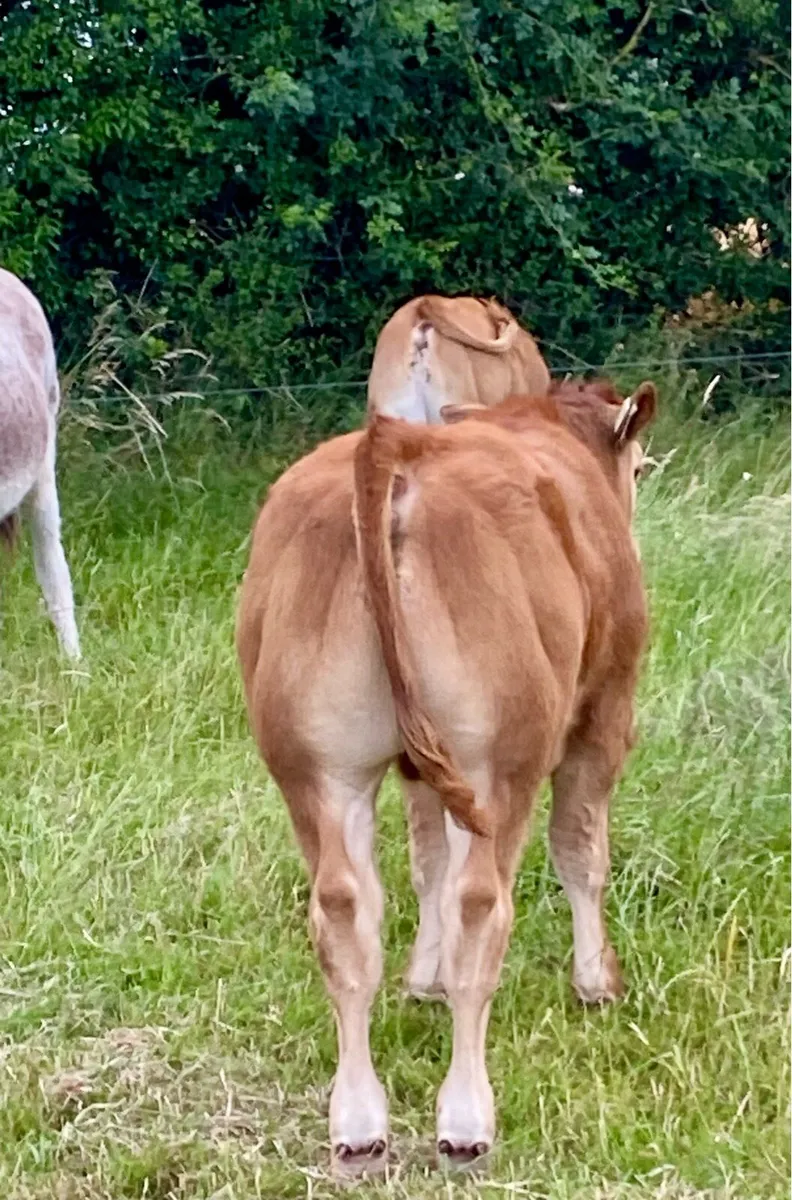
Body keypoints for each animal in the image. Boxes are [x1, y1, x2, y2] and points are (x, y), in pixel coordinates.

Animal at [236, 377, 656, 1175]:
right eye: (643, 468)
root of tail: (399, 444)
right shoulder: (605, 711)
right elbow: (581, 848)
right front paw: (597, 983)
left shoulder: (416, 769)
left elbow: (427, 860)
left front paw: (421, 981)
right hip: (498, 762)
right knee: (480, 905)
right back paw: (465, 1121)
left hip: (317, 767)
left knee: (344, 910)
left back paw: (358, 1124)